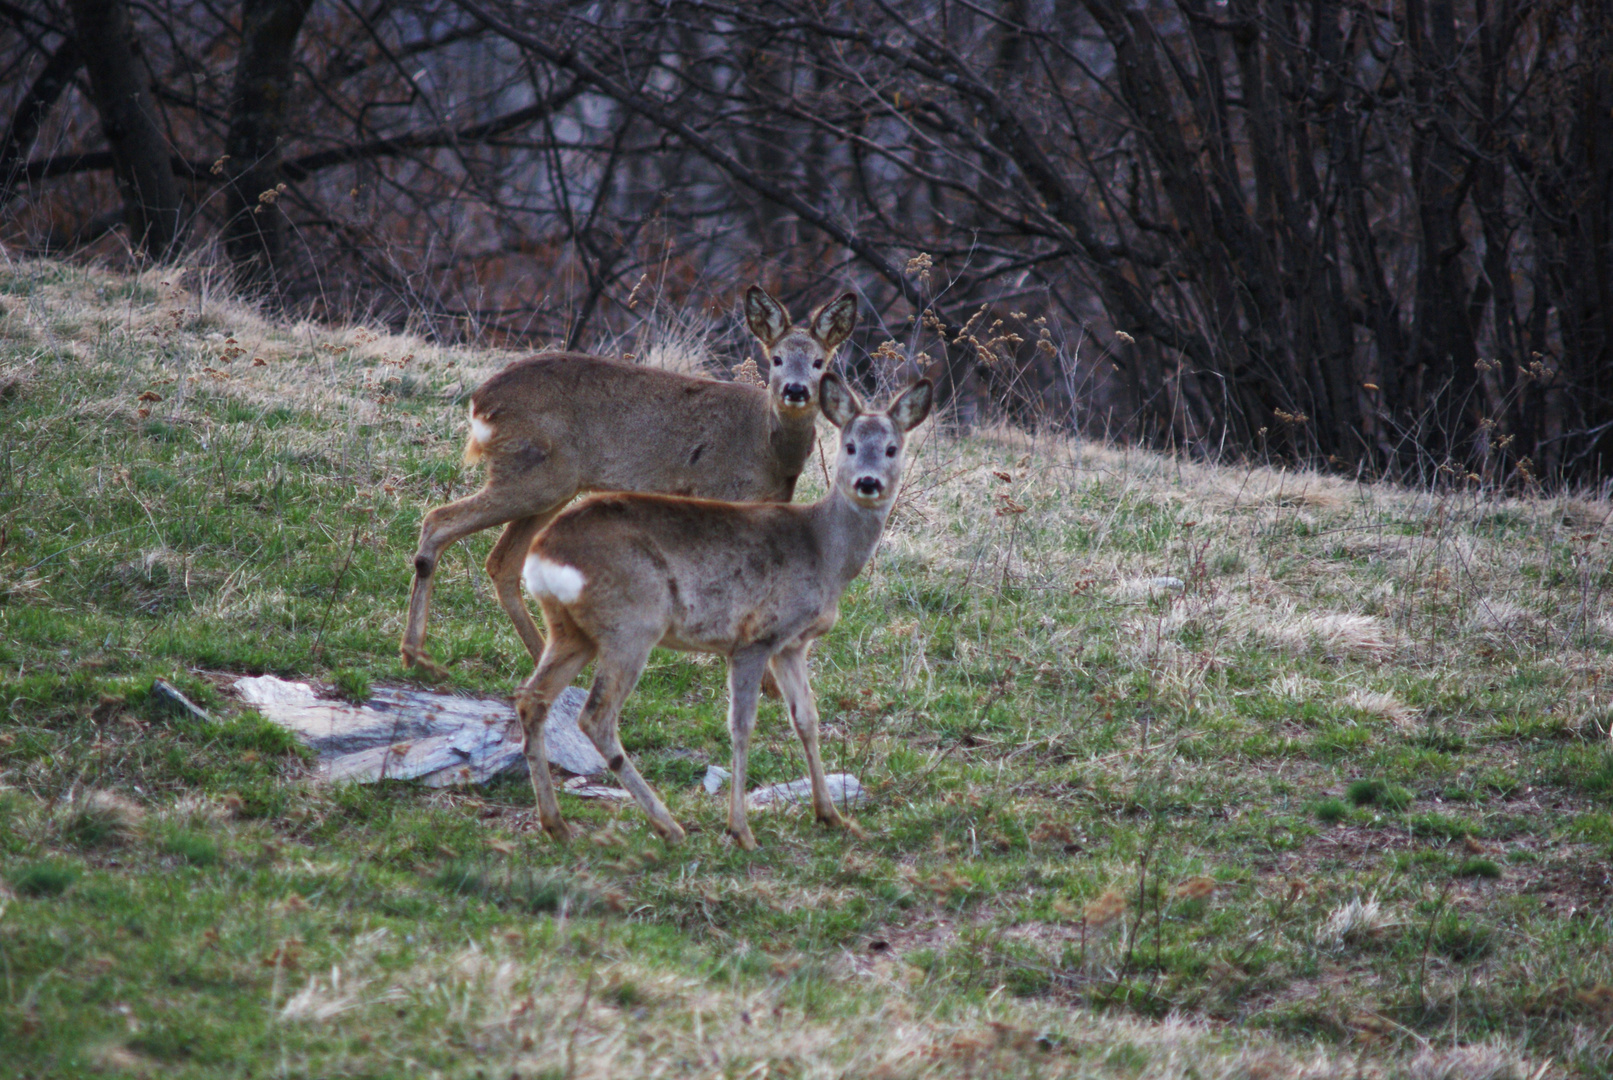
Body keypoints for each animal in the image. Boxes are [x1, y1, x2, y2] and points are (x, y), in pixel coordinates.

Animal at [401, 286, 858, 677]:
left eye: (819, 362)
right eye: (776, 359)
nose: (796, 390)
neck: (768, 446)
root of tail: (481, 402)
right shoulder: (722, 493)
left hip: (552, 485)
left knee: (502, 562)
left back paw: (540, 656)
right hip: (534, 475)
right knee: (441, 521)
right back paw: (417, 654)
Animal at [509, 377, 929, 851]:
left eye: (892, 448)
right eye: (851, 445)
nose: (869, 482)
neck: (825, 552)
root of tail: (544, 553)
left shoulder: (792, 645)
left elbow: (807, 719)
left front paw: (832, 816)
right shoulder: (755, 638)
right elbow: (742, 726)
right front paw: (741, 829)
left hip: (570, 630)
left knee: (532, 698)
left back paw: (556, 824)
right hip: (632, 623)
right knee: (596, 716)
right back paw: (667, 825)